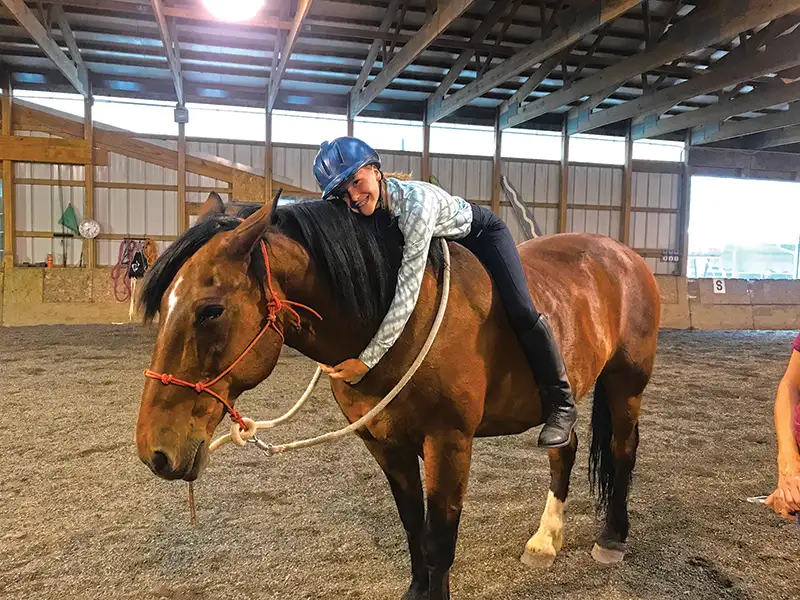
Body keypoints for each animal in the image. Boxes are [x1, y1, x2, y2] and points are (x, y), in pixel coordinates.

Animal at [138, 192, 660, 600]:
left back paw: (612, 538)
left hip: (626, 383)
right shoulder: (385, 443)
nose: (154, 452)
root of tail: (622, 254)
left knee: (623, 450)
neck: (398, 318)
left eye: (210, 310)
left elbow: (439, 538)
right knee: (563, 449)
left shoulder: (449, 442)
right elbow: (413, 525)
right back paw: (545, 541)